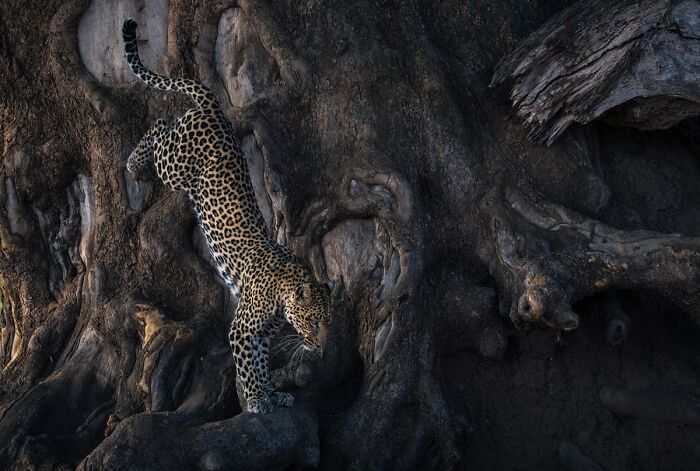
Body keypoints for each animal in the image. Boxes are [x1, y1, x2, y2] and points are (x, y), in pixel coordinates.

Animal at [122, 18, 330, 414]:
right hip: (175, 166)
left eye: (328, 320)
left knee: (164, 124)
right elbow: (248, 366)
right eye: (312, 320)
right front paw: (257, 399)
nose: (322, 346)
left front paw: (272, 394)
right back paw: (134, 165)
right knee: (158, 126)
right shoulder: (242, 329)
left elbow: (261, 362)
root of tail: (215, 109)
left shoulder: (261, 334)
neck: (283, 291)